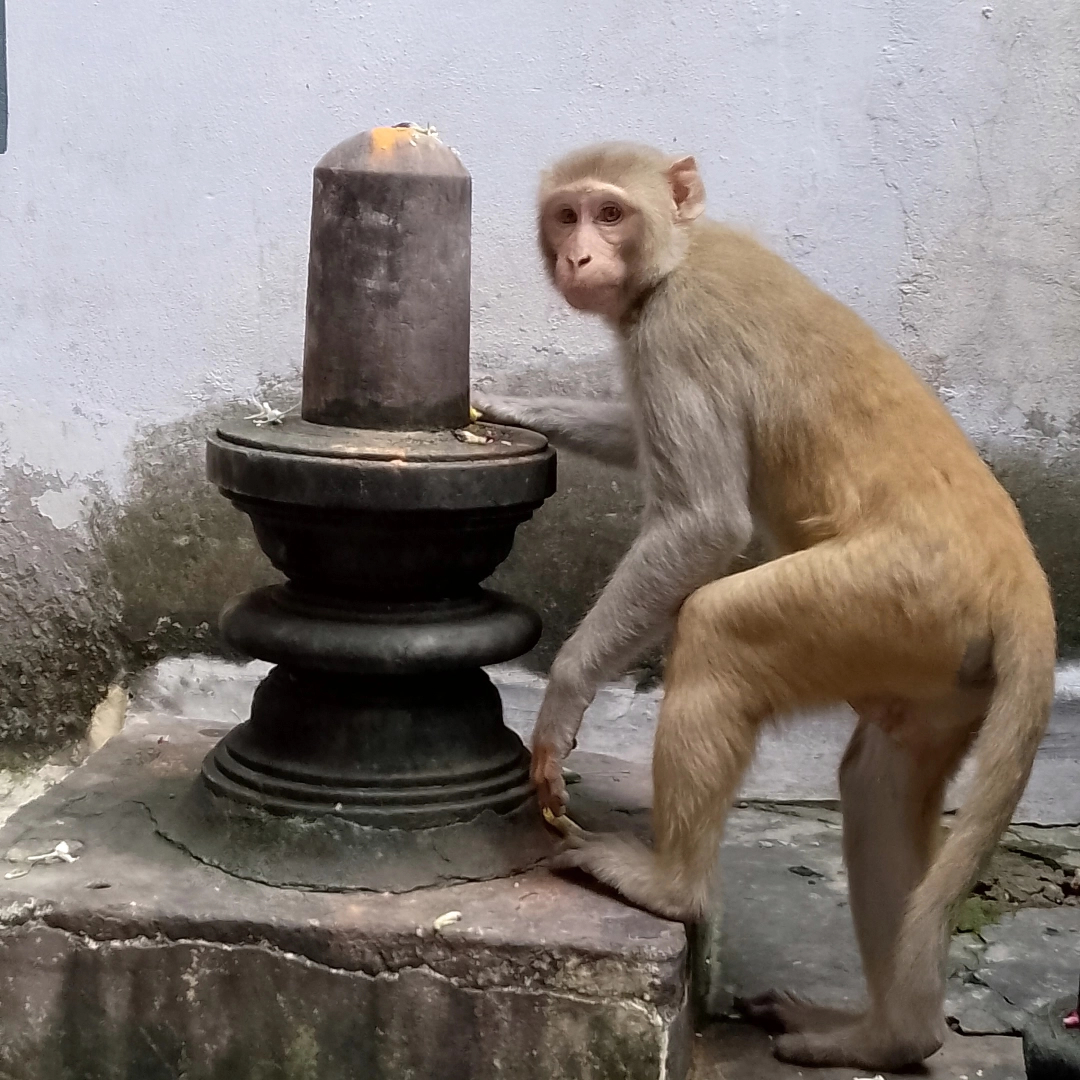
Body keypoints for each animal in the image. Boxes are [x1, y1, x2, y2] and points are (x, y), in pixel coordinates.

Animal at [473, 142, 1056, 1071]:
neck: (680, 252)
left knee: (719, 629)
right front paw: (510, 402)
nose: (578, 256)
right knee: (879, 779)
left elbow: (704, 520)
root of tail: (1022, 584)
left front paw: (562, 702)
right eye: (566, 216)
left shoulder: (676, 332)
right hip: (940, 658)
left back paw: (672, 887)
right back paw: (893, 1035)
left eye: (609, 213)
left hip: (894, 596)